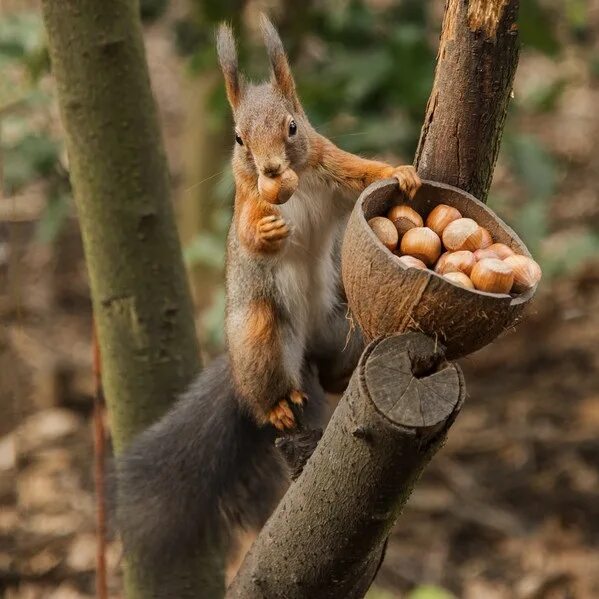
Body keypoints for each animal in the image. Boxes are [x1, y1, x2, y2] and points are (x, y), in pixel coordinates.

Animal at [115, 15, 420, 572]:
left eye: (293, 126)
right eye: (238, 138)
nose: (271, 169)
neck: (293, 186)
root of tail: (304, 351)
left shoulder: (330, 166)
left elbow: (362, 173)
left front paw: (399, 172)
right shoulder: (246, 200)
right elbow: (247, 231)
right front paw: (267, 233)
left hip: (338, 326)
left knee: (332, 369)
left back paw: (343, 373)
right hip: (260, 332)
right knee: (262, 389)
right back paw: (275, 405)